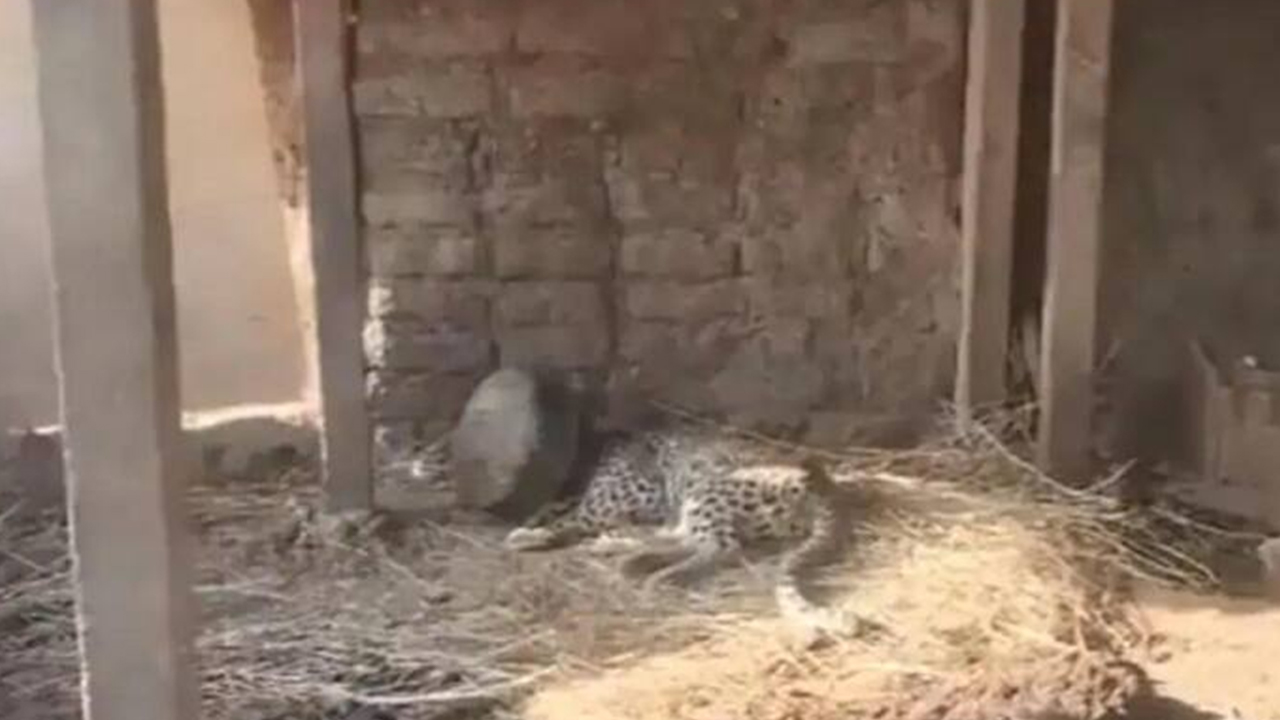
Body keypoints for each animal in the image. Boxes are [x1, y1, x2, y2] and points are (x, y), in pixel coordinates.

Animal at [504, 425, 855, 632]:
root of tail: (829, 491)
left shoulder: (605, 506)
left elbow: (567, 520)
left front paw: (530, 534)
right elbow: (556, 512)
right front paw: (533, 525)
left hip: (708, 491)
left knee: (720, 547)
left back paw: (654, 573)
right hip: (700, 502)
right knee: (685, 539)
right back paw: (628, 555)